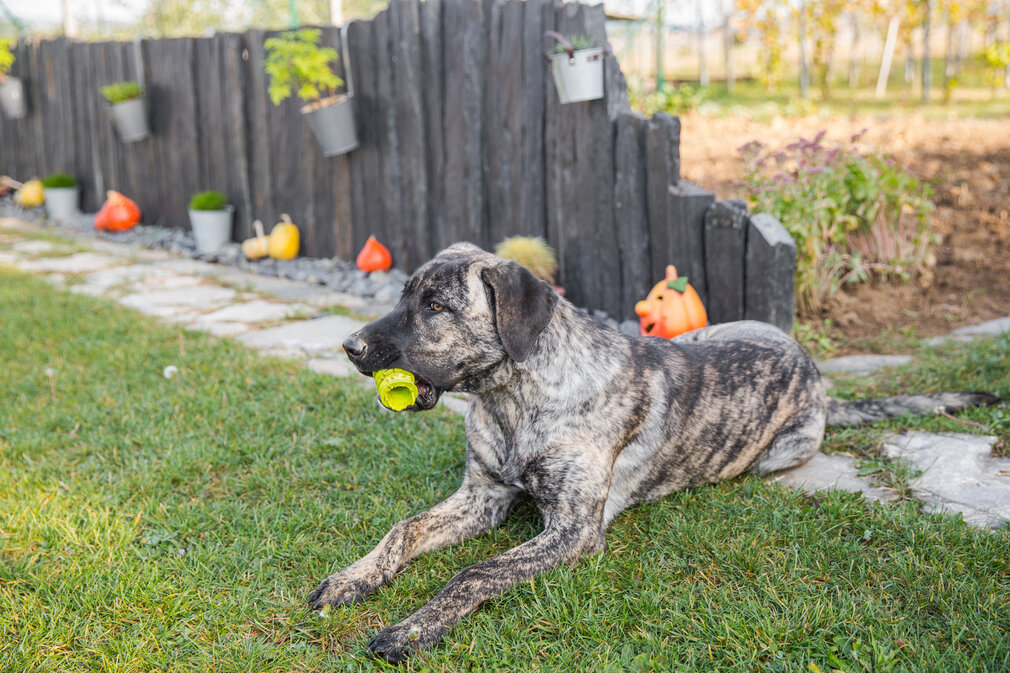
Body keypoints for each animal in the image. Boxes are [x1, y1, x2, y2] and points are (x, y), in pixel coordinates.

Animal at [309, 242, 1001, 658]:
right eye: (403, 296)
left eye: (434, 306)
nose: (349, 347)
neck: (514, 398)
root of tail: (812, 367)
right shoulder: (483, 497)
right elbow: (403, 529)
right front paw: (353, 579)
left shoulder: (573, 531)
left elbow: (475, 572)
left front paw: (412, 627)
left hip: (782, 449)